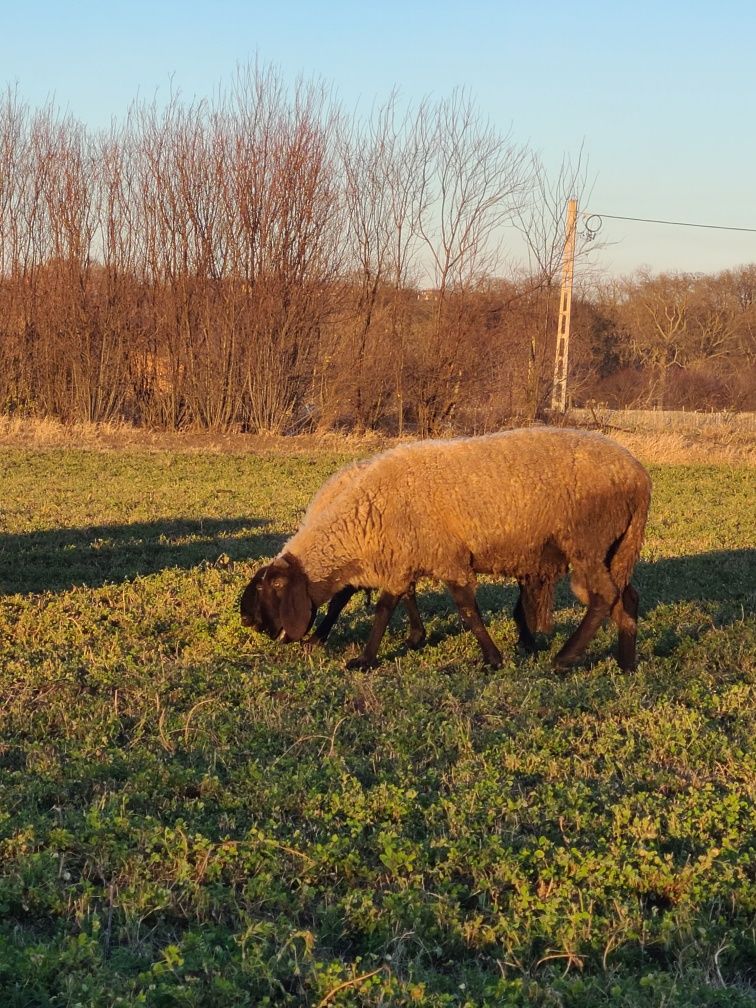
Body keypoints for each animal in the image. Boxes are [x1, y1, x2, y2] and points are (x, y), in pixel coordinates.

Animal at [240, 425, 653, 669]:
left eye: (268, 591)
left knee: (602, 597)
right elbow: (386, 607)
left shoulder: (446, 557)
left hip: (587, 542)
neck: (365, 513)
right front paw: (369, 657)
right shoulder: (406, 557)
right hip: (615, 547)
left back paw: (565, 658)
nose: (247, 622)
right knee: (625, 596)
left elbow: (466, 610)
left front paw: (491, 658)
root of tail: (639, 477)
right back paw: (625, 662)